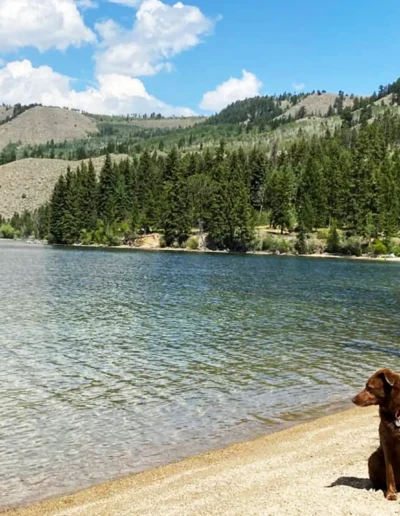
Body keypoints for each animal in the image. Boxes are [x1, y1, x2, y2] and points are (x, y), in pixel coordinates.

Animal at [352, 366, 400, 500]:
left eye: (369, 387)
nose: (352, 399)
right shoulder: (387, 442)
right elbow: (389, 471)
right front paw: (390, 494)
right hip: (374, 458)